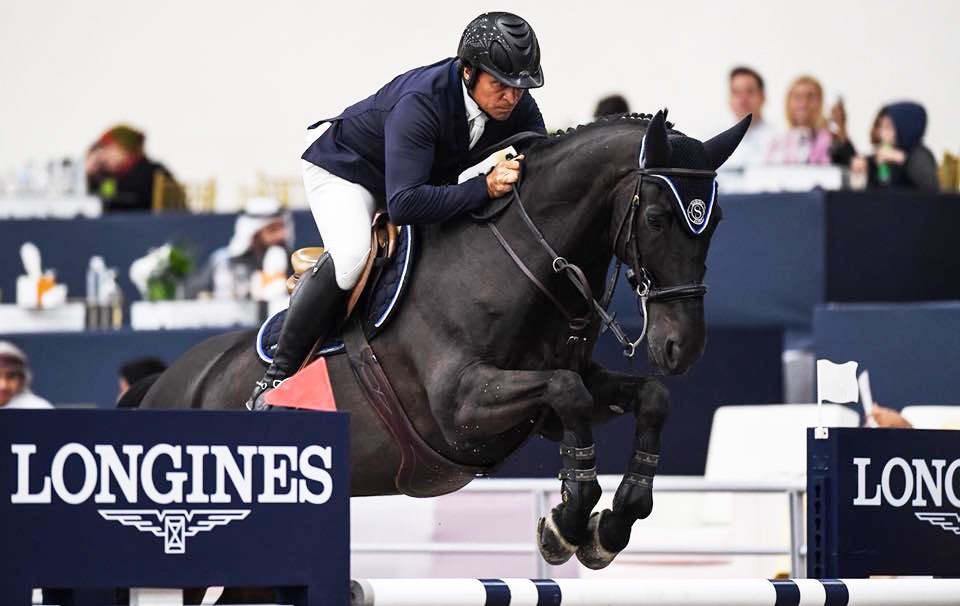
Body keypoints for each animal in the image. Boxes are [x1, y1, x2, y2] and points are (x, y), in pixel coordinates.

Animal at [139, 109, 749, 577]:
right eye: (657, 217)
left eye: (716, 218)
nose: (682, 347)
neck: (519, 267)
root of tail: (162, 384)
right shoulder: (461, 407)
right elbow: (567, 391)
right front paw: (567, 523)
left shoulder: (552, 407)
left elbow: (646, 397)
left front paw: (612, 523)